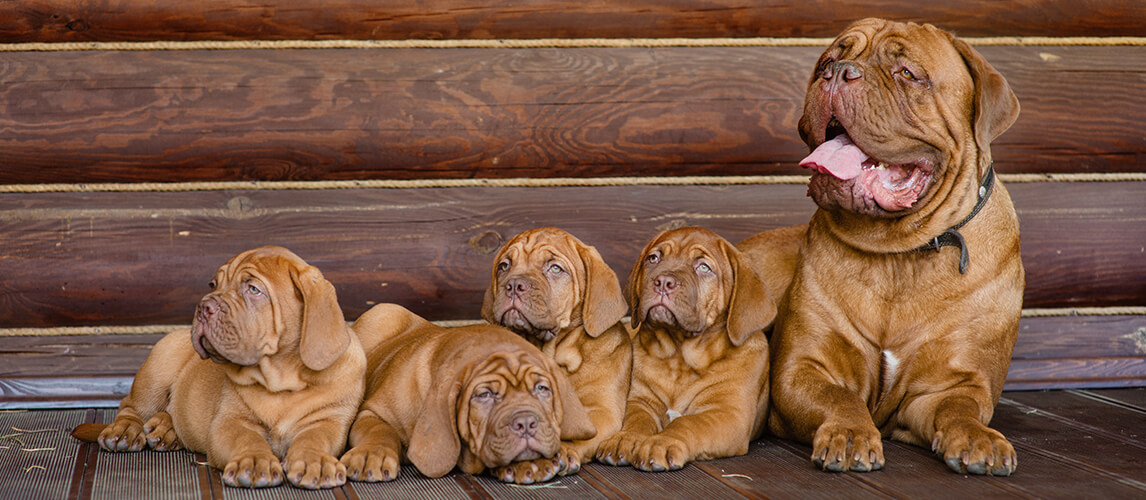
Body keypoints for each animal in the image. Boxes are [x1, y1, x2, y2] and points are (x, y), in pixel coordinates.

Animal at [73, 246, 359, 488]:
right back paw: (125, 431)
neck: (281, 379)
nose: (203, 306)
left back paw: (167, 429)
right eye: (213, 284)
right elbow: (246, 438)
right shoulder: (229, 421)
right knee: (130, 408)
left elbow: (314, 438)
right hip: (158, 366)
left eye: (253, 289)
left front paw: (314, 460)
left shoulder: (328, 421)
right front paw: (254, 461)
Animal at [339, 302, 595, 481]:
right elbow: (379, 430)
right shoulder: (372, 412)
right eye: (485, 395)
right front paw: (372, 454)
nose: (526, 423)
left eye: (542, 389)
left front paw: (530, 463)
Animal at [595, 228, 774, 470]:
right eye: (653, 258)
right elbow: (636, 420)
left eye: (703, 267)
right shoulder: (640, 401)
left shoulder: (728, 413)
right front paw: (624, 438)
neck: (679, 358)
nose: (663, 282)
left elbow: (688, 423)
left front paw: (661, 442)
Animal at [770, 17, 1022, 474]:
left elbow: (960, 408)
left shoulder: (950, 384)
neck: (898, 253)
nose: (838, 72)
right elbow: (840, 397)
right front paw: (850, 433)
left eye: (907, 73)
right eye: (827, 62)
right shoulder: (802, 369)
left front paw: (979, 438)